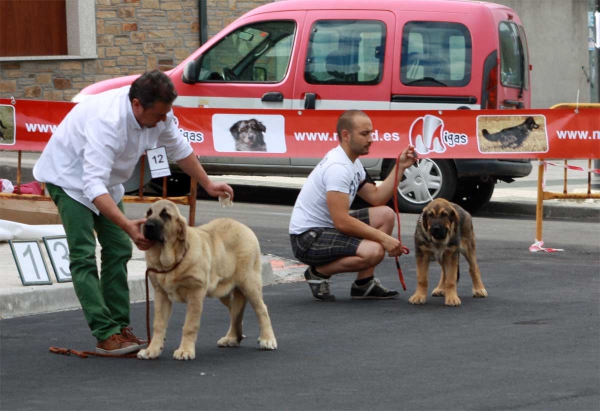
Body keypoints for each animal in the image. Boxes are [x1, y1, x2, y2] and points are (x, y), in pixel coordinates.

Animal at [137, 200, 278, 360]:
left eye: (165, 215)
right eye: (149, 213)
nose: (148, 225)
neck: (171, 260)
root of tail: (245, 227)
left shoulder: (195, 294)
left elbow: (190, 325)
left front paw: (185, 350)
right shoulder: (161, 294)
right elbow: (158, 324)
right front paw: (152, 350)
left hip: (249, 283)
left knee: (261, 309)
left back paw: (267, 339)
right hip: (224, 290)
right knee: (235, 311)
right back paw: (232, 337)